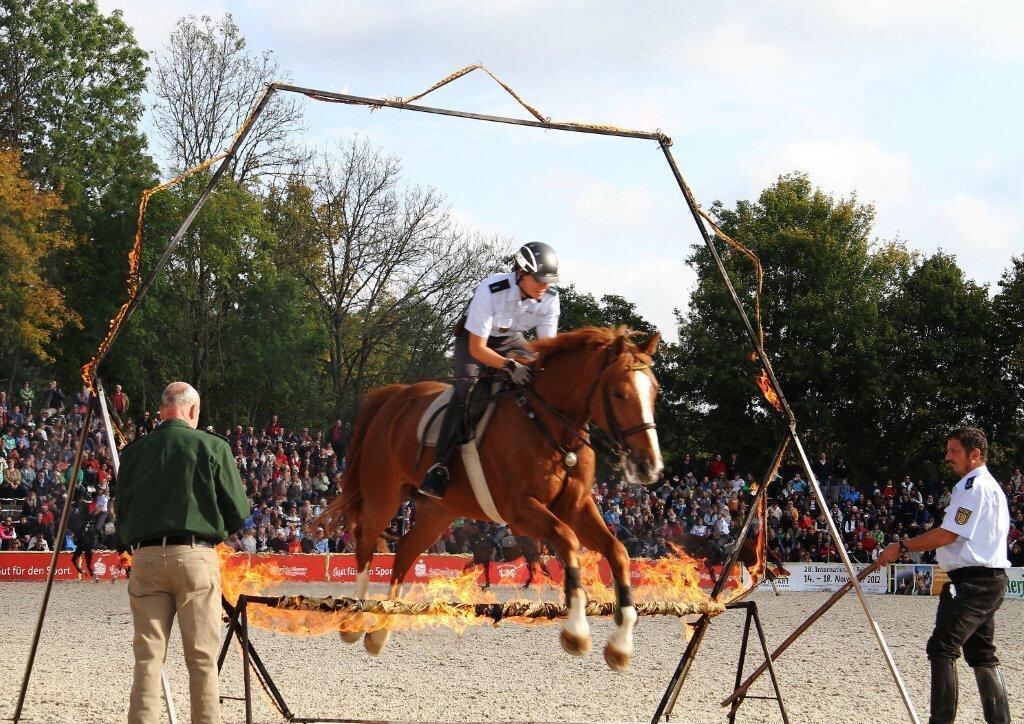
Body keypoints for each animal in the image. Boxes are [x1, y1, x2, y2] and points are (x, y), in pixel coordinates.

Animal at [319, 327, 663, 667]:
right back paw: (356, 618)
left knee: (405, 552)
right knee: (366, 541)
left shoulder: (575, 506)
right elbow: (568, 540)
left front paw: (621, 644)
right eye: (619, 393)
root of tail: (394, 396)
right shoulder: (519, 509)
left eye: (655, 391)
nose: (649, 466)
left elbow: (617, 551)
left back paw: (380, 630)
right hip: (384, 493)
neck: (546, 424)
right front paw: (576, 631)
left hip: (439, 511)